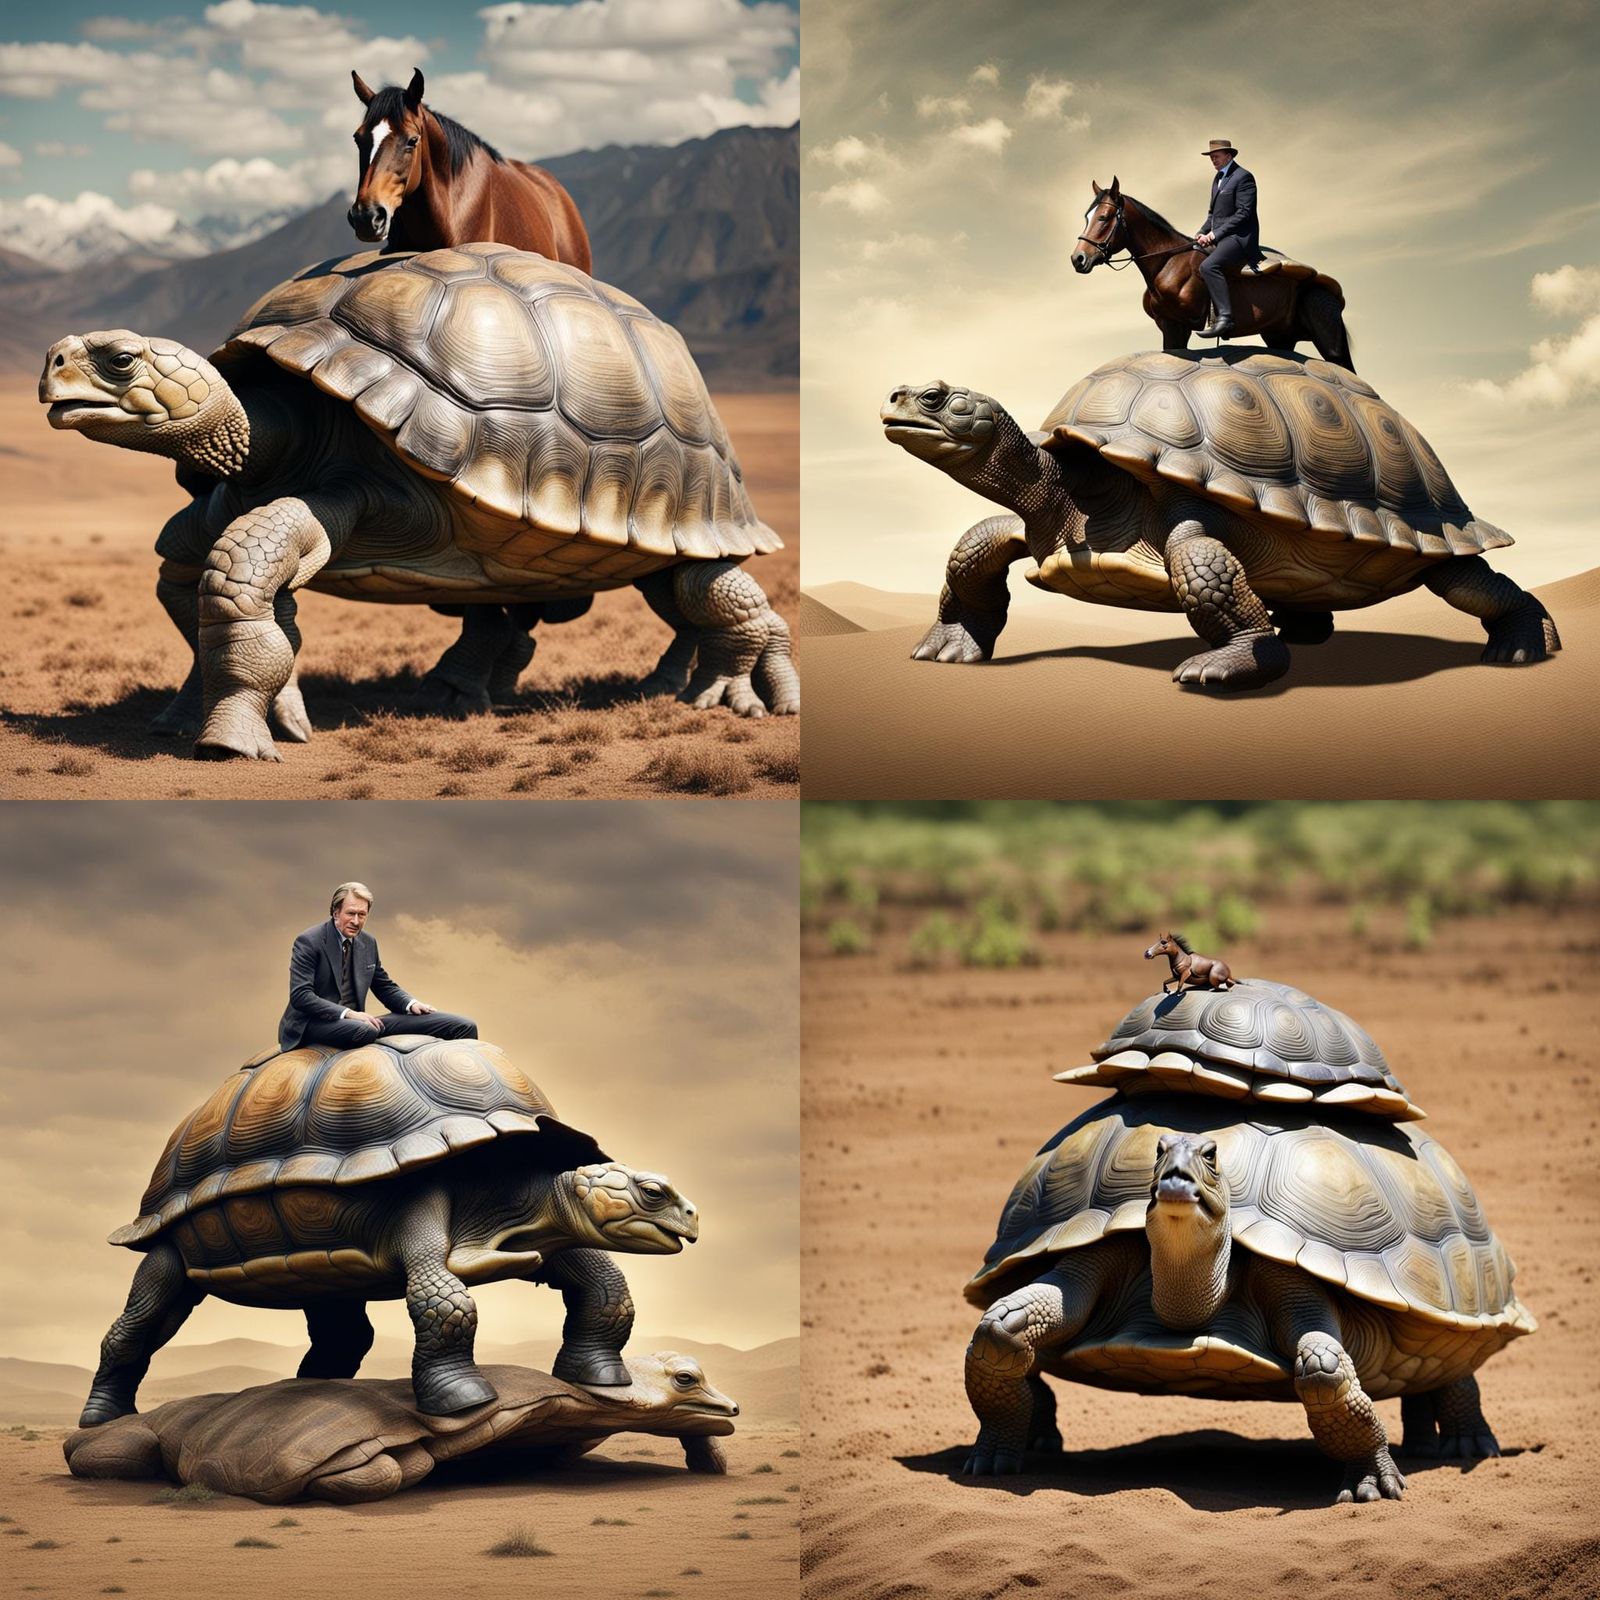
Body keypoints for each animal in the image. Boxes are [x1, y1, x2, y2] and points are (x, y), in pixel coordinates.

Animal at [1071, 177, 1354, 370]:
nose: (1078, 259)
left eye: (1104, 217)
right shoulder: (1170, 326)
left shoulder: (1183, 323)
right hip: (1280, 335)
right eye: (1086, 217)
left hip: (1325, 330)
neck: (1169, 262)